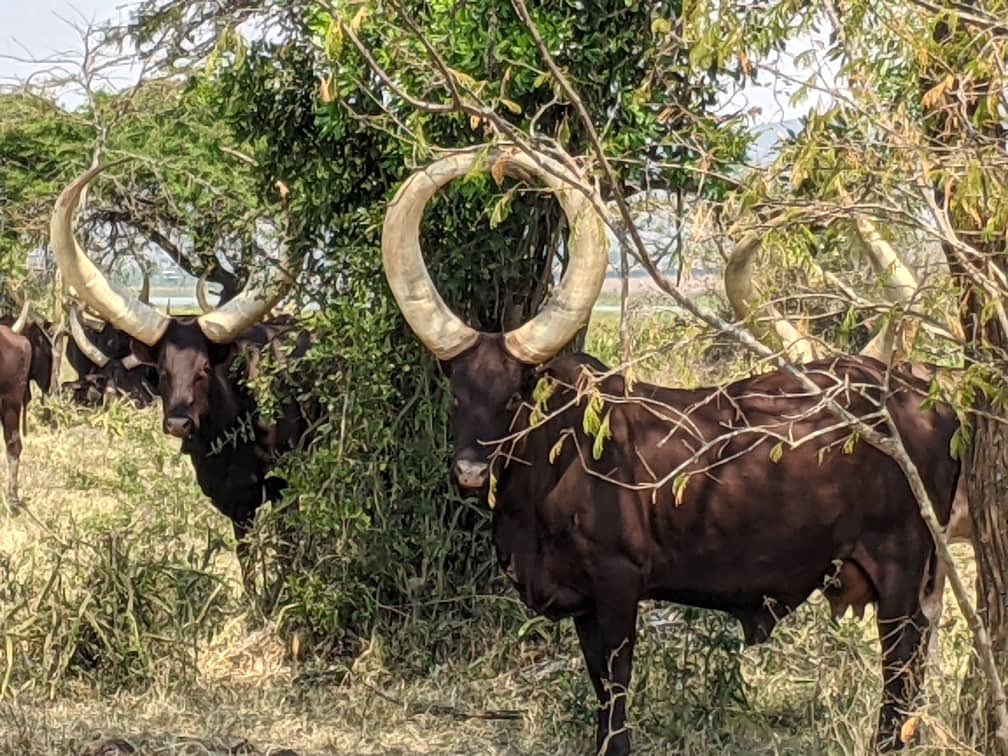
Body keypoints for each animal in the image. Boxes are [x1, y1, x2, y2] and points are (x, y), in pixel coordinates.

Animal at [381, 145, 963, 753]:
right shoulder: (585, 603)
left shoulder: (618, 586)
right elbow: (599, 686)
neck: (553, 463)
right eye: (456, 392)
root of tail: (927, 397)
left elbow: (616, 688)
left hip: (903, 574)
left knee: (901, 672)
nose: (471, 471)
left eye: (517, 393)